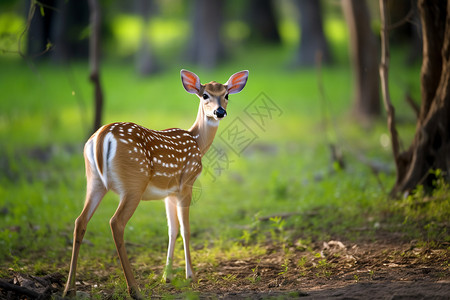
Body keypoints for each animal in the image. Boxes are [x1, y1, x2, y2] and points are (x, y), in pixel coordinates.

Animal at [62, 69, 248, 298]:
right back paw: (134, 289)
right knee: (116, 223)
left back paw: (69, 288)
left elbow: (172, 230)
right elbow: (186, 229)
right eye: (205, 95)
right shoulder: (186, 183)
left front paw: (166, 276)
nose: (220, 111)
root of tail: (101, 137)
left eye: (226, 94)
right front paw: (191, 276)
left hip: (94, 180)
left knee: (80, 221)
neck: (197, 142)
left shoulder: (168, 192)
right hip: (134, 183)